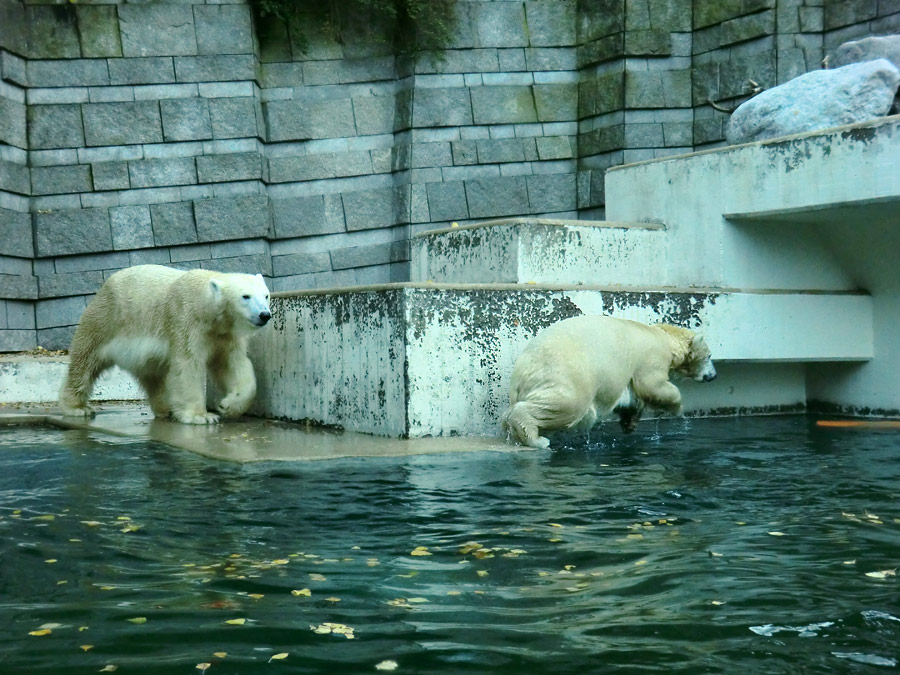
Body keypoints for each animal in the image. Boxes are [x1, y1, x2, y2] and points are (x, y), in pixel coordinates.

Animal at [59, 262, 270, 422]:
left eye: (266, 295)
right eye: (245, 296)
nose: (265, 314)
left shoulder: (224, 335)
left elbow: (233, 364)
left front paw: (228, 405)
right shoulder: (186, 322)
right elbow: (187, 365)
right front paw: (201, 416)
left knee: (153, 375)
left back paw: (166, 407)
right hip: (105, 320)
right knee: (85, 361)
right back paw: (77, 407)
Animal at [500, 316, 716, 448]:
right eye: (709, 356)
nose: (713, 376)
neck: (663, 336)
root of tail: (523, 371)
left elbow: (631, 397)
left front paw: (630, 423)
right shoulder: (651, 357)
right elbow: (652, 385)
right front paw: (678, 407)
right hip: (568, 375)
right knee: (565, 405)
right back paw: (538, 440)